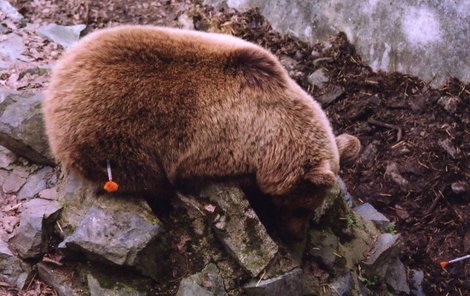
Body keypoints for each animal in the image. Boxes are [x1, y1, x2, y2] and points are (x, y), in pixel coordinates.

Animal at [43, 24, 360, 238]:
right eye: (303, 205)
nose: (297, 234)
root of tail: (56, 85)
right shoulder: (213, 146)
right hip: (110, 135)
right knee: (145, 176)